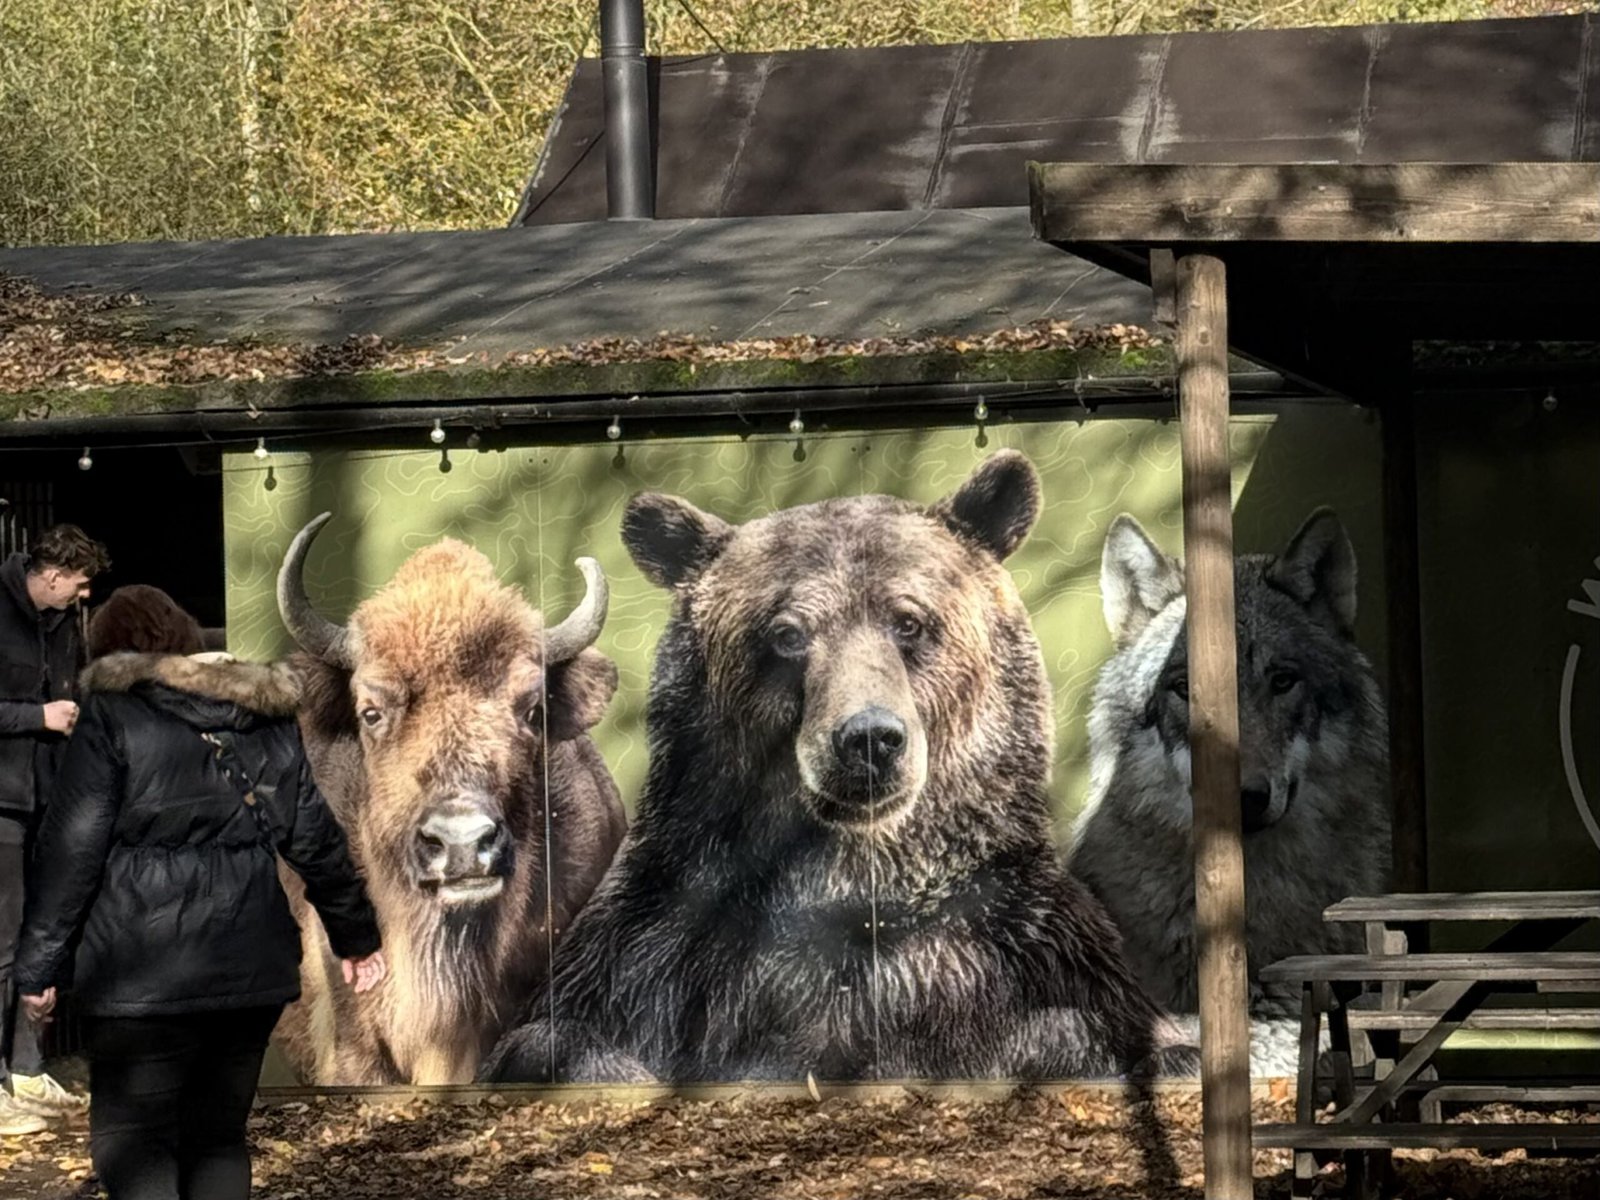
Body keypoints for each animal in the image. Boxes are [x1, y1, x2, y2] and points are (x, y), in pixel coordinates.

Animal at [480, 454, 1196, 1088]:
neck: (849, 886)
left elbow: (1090, 1030)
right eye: (786, 633)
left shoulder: (1019, 951)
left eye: (909, 620)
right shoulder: (660, 957)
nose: (870, 738)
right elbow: (556, 1036)